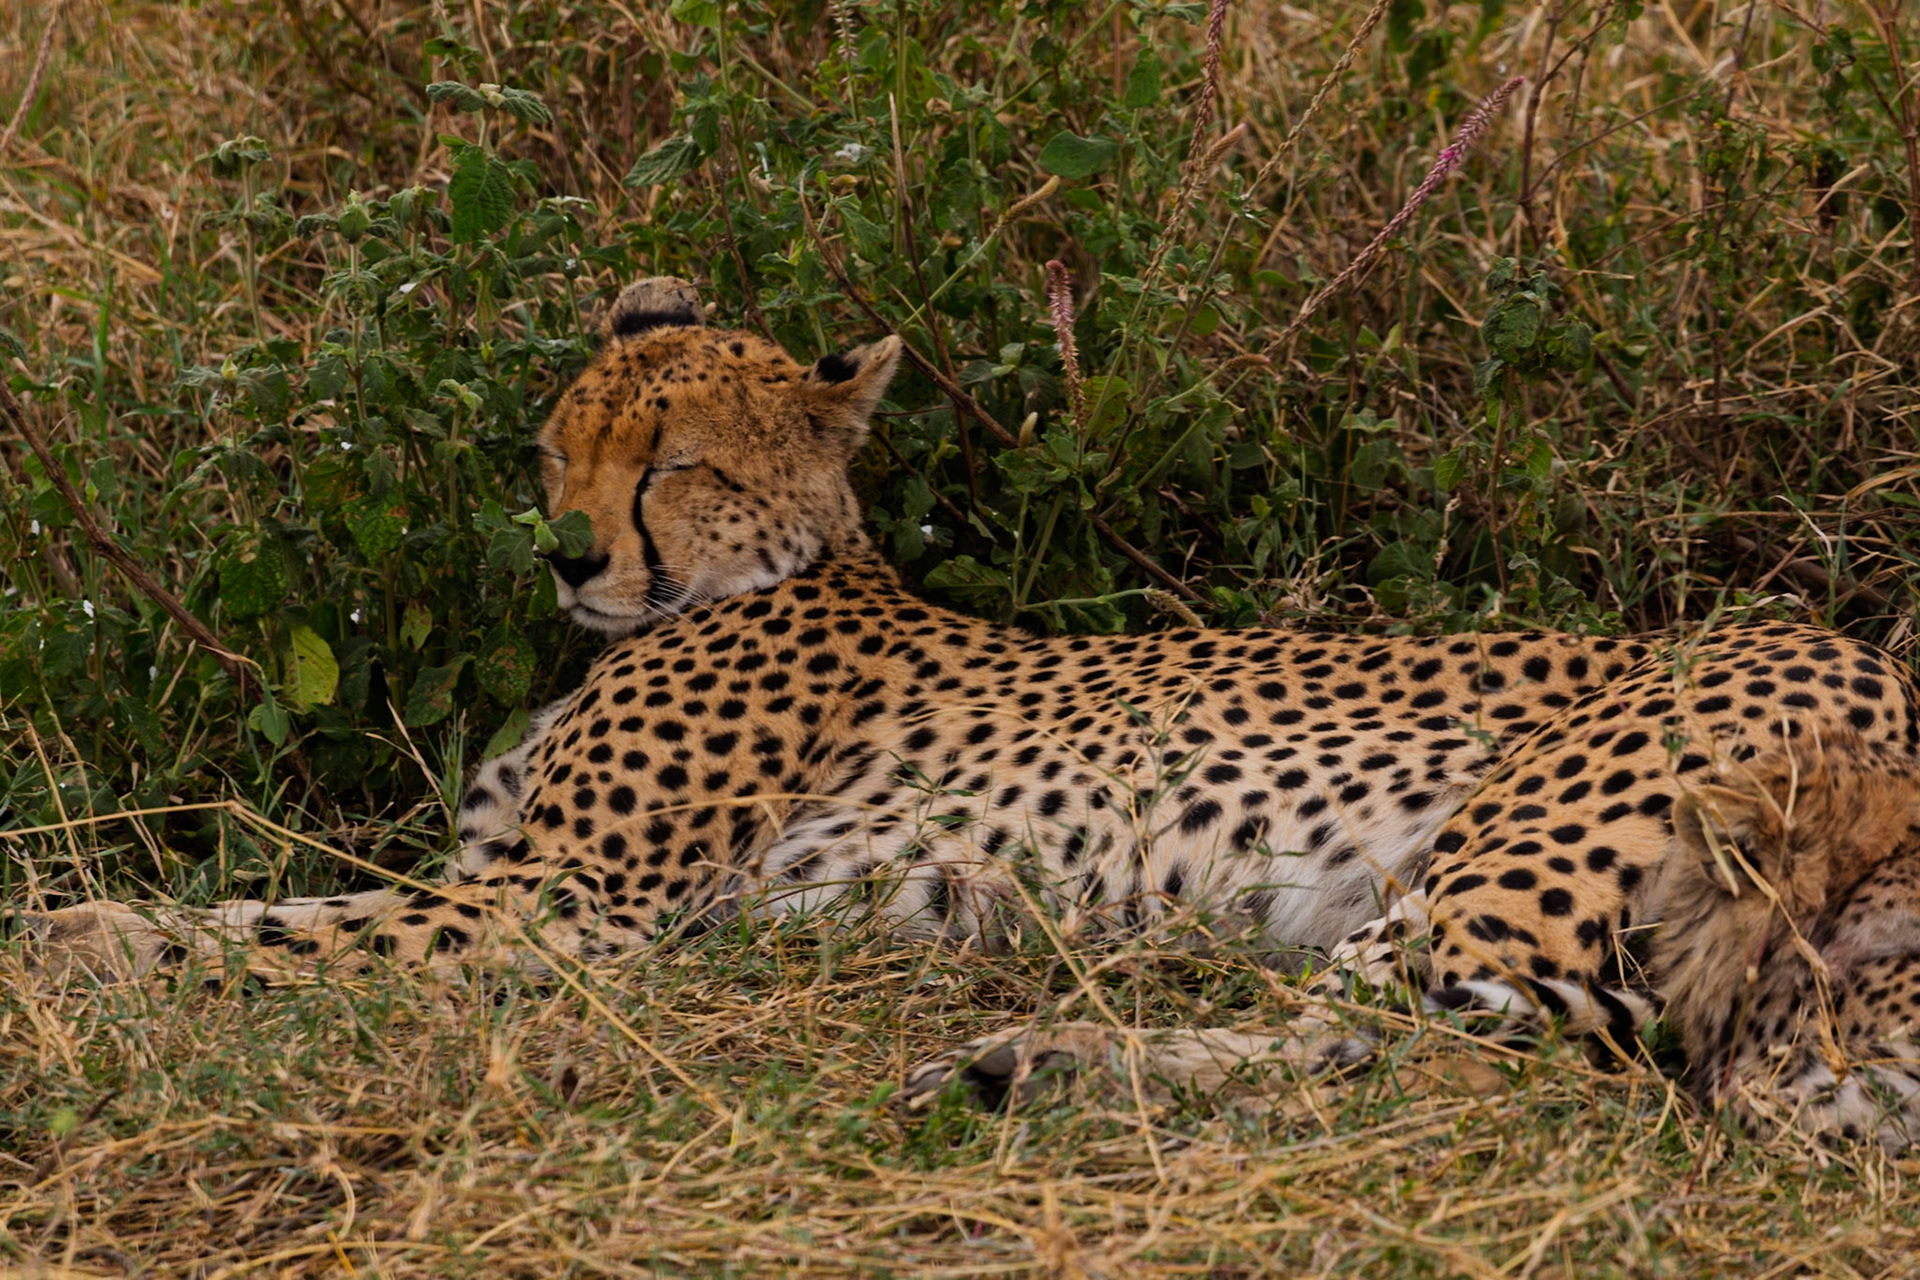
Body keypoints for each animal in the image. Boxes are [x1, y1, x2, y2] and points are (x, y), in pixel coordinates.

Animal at [18, 276, 1920, 1143]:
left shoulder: (568, 912)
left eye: (671, 464)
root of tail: (1871, 655)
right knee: (1404, 1042)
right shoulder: (508, 880)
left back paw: (1032, 1059)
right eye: (564, 442)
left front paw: (67, 952)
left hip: (1511, 852)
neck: (755, 578)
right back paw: (1028, 1065)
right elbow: (278, 914)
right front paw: (85, 933)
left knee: (1455, 1053)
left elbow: (293, 937)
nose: (567, 555)